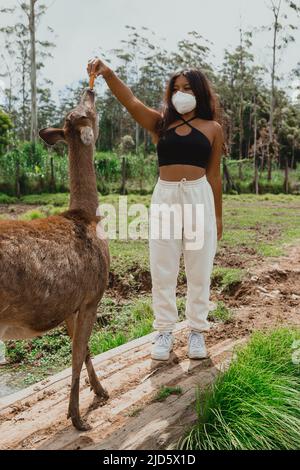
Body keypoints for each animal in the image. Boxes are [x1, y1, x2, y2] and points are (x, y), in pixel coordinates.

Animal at [0, 87, 110, 430]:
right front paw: (77, 417)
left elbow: (84, 350)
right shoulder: (92, 295)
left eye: (76, 109)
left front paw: (100, 391)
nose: (90, 89)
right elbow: (75, 355)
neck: (86, 217)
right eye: (88, 112)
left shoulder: (69, 305)